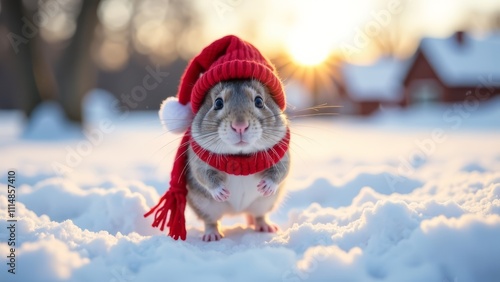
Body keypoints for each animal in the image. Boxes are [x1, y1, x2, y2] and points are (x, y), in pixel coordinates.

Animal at [187, 78, 290, 241]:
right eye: (218, 103)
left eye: (259, 101)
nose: (240, 126)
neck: (240, 155)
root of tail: (238, 211)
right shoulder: (198, 160)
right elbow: (203, 176)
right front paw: (221, 192)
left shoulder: (282, 154)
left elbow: (281, 171)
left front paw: (266, 186)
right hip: (205, 207)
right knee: (211, 222)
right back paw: (212, 235)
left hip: (264, 204)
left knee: (259, 216)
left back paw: (266, 227)